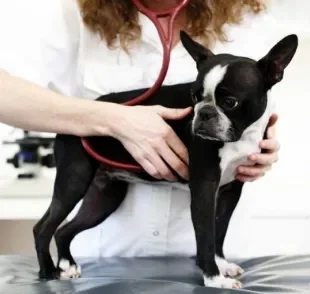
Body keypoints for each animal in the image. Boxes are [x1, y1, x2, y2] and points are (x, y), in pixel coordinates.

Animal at [33, 31, 298, 288]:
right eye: (194, 96)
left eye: (229, 102)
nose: (203, 113)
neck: (240, 136)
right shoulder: (204, 189)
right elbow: (206, 236)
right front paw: (213, 278)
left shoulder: (229, 191)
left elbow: (219, 230)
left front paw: (222, 265)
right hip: (74, 179)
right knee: (44, 227)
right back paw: (48, 272)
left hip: (104, 197)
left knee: (64, 230)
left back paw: (68, 265)